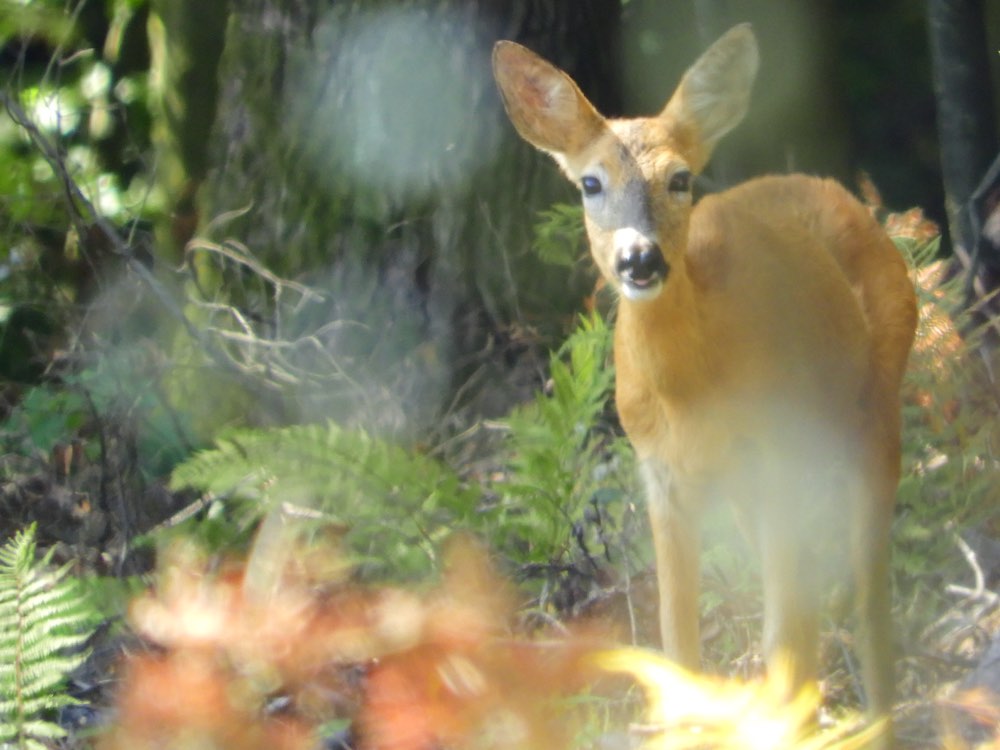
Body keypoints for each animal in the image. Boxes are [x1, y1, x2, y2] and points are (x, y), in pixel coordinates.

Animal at [492, 24, 916, 744]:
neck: (690, 395)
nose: (639, 258)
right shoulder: (660, 473)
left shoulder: (779, 455)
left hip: (874, 412)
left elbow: (787, 640)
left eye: (680, 178)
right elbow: (678, 646)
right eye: (590, 183)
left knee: (867, 601)